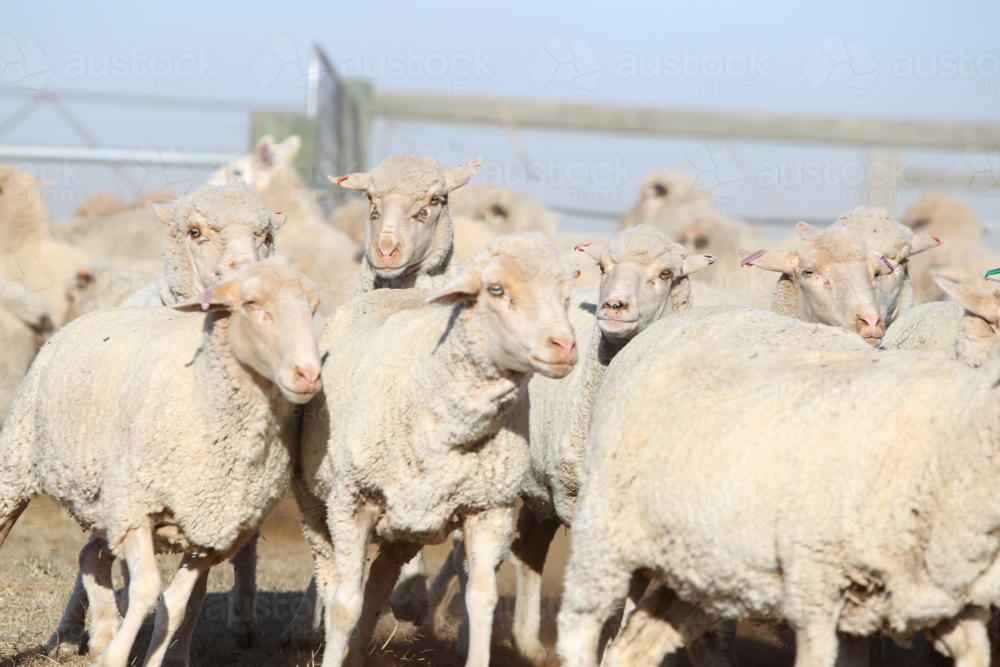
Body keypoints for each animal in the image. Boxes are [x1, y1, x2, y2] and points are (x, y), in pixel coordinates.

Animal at [0, 258, 322, 667]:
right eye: (252, 304)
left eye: (313, 308)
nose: (308, 374)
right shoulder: (137, 507)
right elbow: (147, 589)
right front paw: (116, 656)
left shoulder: (208, 534)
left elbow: (176, 604)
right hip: (20, 468)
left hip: (108, 503)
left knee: (91, 556)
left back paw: (103, 631)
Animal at [292, 234, 580, 667]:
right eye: (496, 289)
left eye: (564, 296)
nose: (564, 346)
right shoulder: (353, 501)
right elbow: (344, 604)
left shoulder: (489, 510)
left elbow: (482, 600)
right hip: (318, 505)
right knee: (331, 577)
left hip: (408, 519)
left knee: (381, 579)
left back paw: (359, 649)